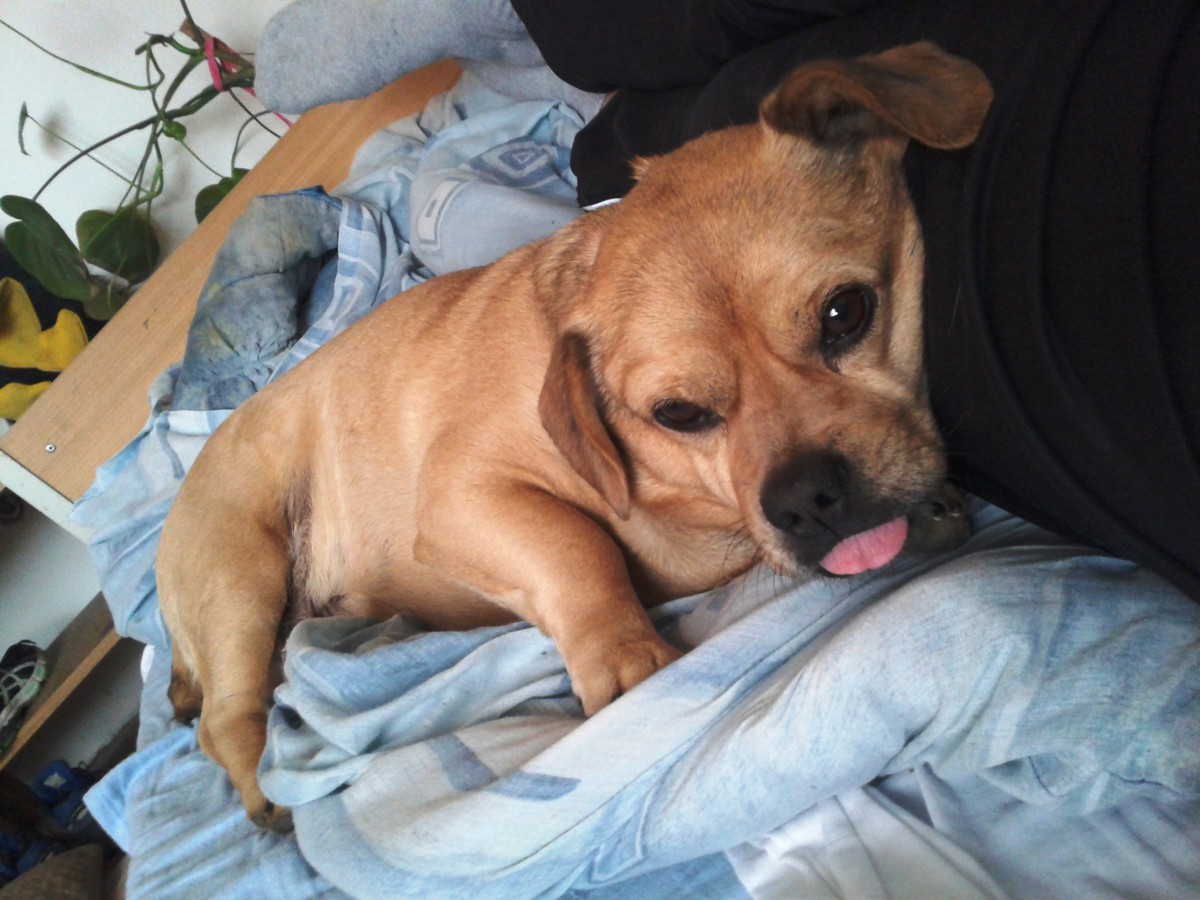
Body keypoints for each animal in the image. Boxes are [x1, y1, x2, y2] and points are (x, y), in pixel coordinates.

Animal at [156, 41, 991, 832]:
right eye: (678, 413)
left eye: (847, 313)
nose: (808, 498)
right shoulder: (464, 494)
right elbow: (576, 544)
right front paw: (624, 655)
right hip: (242, 576)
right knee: (226, 718)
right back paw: (262, 791)